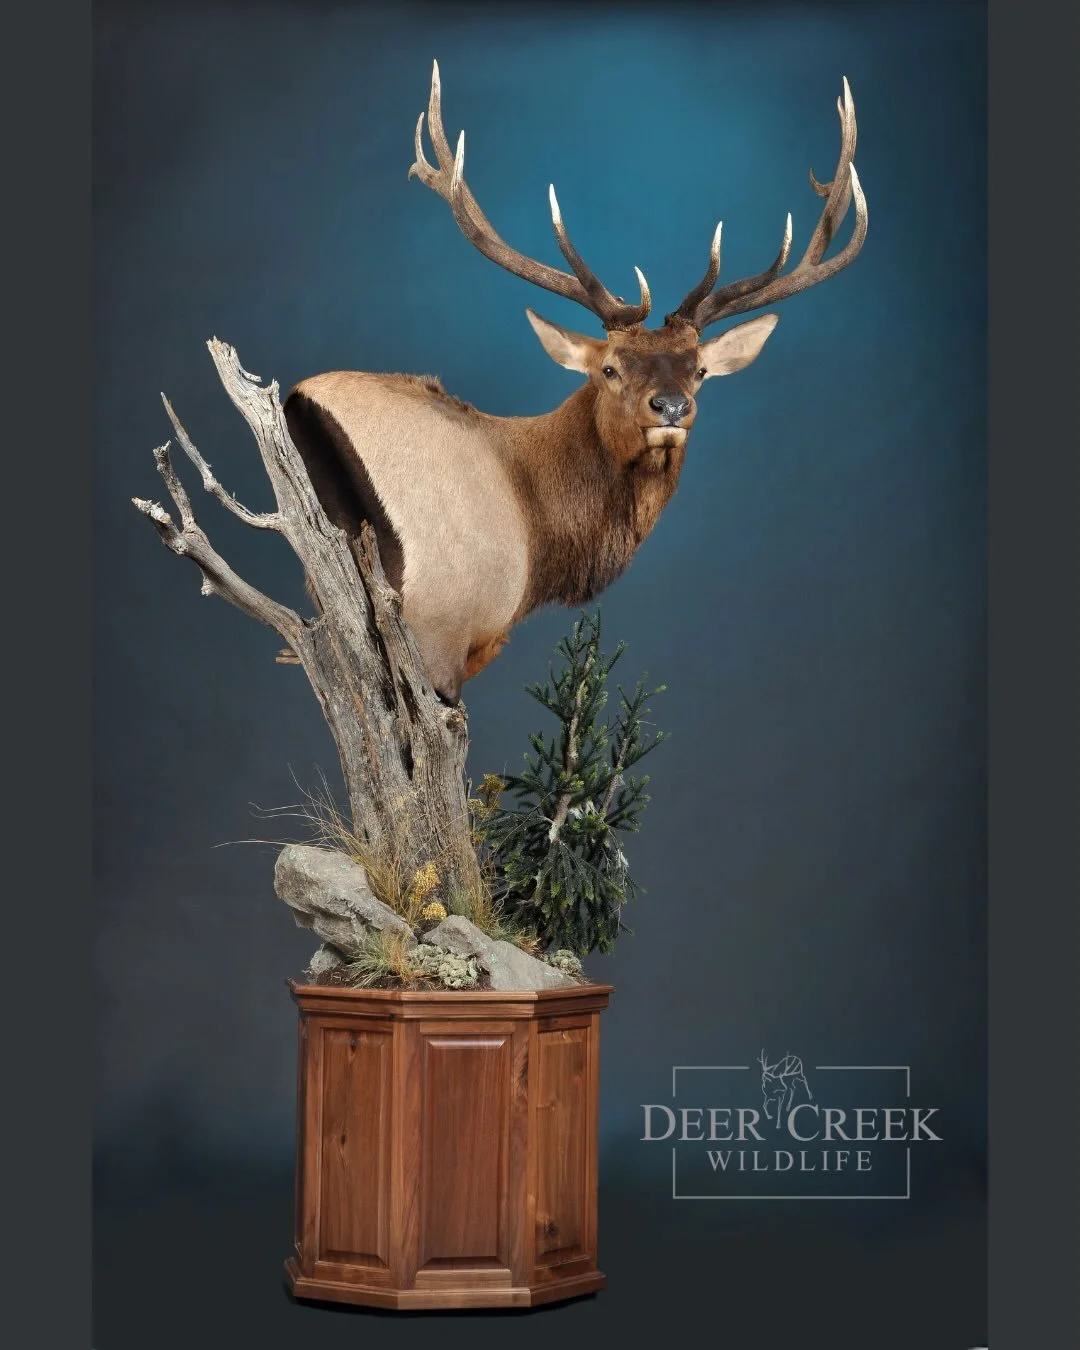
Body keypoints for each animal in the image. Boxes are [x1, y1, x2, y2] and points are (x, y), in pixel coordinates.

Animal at [283, 62, 867, 703]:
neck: (540, 541)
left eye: (700, 369)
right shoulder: (446, 637)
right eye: (609, 368)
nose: (670, 406)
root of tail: (296, 400)